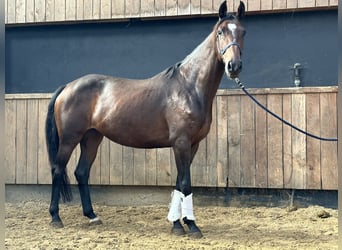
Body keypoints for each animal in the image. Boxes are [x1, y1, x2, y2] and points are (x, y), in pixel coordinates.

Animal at [46, 0, 246, 238]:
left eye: (243, 32)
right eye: (220, 32)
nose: (234, 66)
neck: (188, 87)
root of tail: (68, 86)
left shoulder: (192, 144)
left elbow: (179, 183)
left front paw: (177, 223)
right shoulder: (181, 143)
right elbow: (185, 184)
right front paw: (191, 226)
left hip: (92, 137)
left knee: (81, 172)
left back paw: (92, 215)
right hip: (70, 139)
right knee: (58, 170)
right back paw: (55, 217)